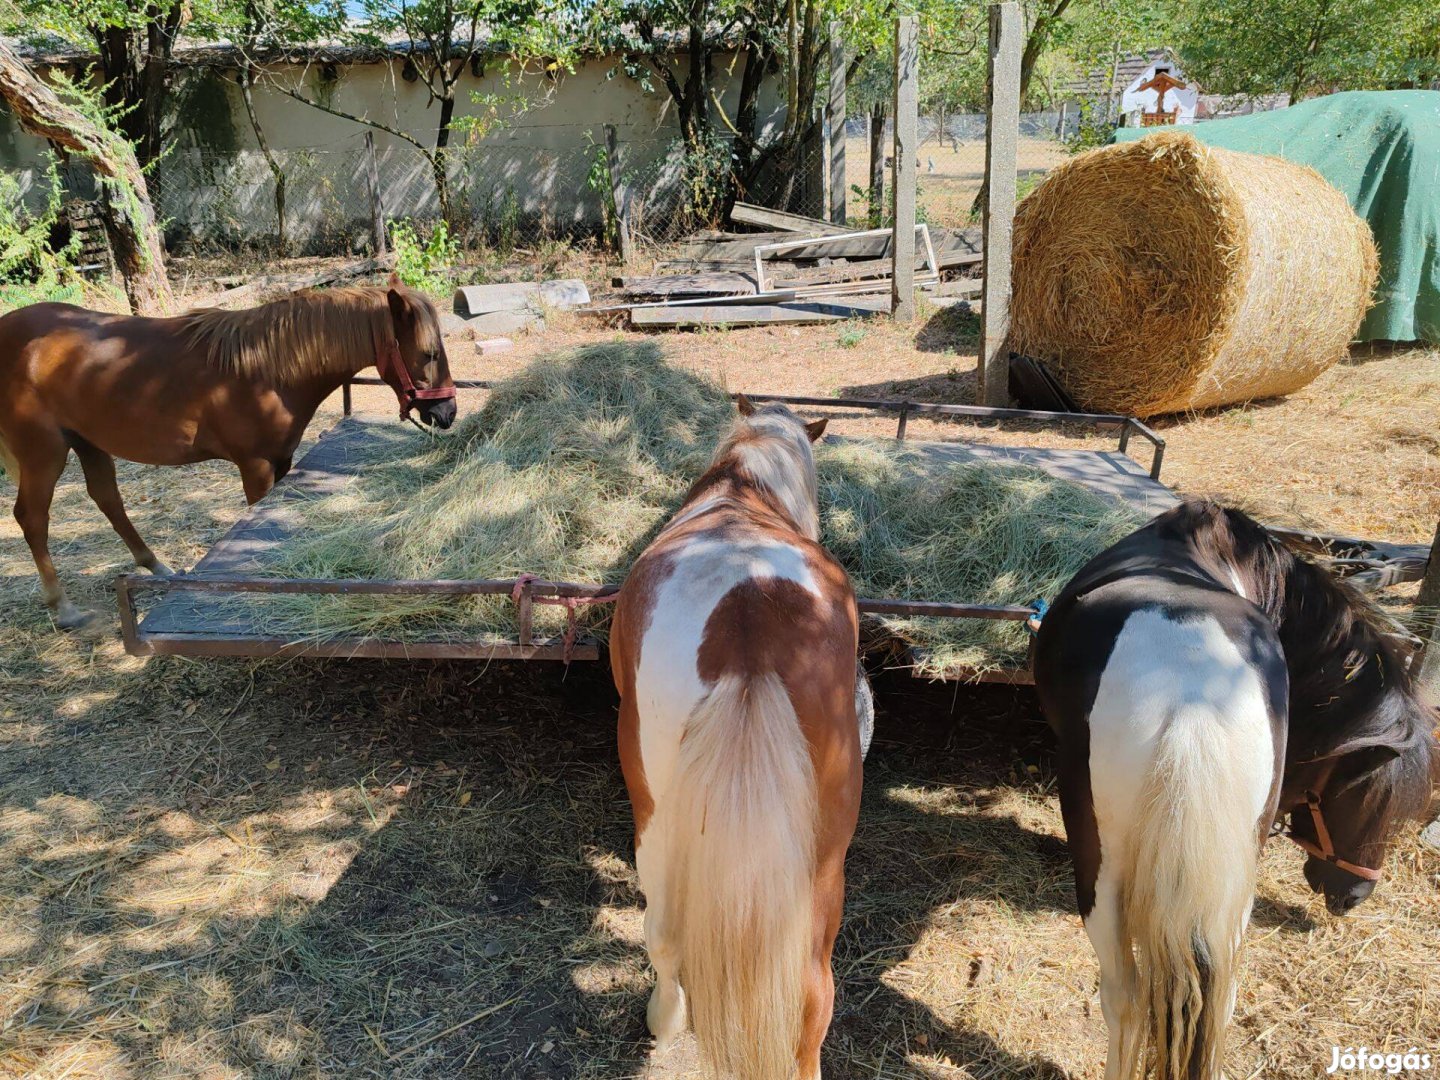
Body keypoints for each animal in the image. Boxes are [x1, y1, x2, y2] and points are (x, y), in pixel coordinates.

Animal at [0, 283, 455, 630]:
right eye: (429, 354)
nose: (447, 412)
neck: (268, 368)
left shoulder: (281, 461)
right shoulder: (255, 467)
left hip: (88, 442)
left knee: (107, 499)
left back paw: (157, 567)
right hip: (45, 452)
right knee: (33, 518)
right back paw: (63, 608)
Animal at [610, 400, 864, 1080]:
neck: (741, 493)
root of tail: (746, 619)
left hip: (658, 815)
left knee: (665, 932)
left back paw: (664, 1020)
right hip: (820, 855)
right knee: (810, 990)